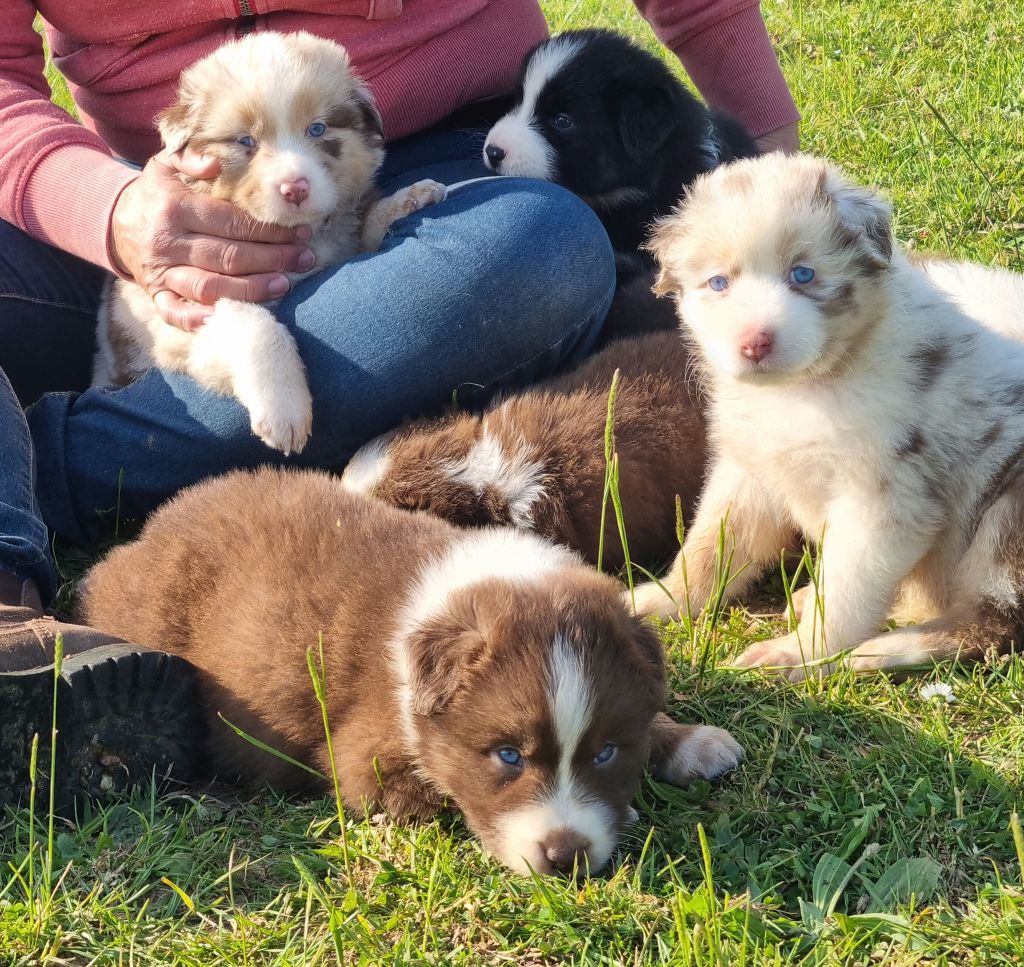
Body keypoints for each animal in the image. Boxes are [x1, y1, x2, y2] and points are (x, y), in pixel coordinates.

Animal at [77, 469, 737, 876]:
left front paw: (691, 742)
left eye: (605, 753)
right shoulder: (366, 761)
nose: (565, 854)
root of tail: (138, 540)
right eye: (508, 756)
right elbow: (436, 791)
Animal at [95, 30, 444, 452]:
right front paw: (285, 411)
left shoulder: (342, 235)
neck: (303, 232)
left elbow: (367, 222)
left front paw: (411, 196)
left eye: (317, 129)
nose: (295, 188)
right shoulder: (188, 311)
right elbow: (255, 323)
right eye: (246, 141)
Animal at [634, 152, 1024, 680]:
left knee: (990, 624)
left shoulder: (882, 499)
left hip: (1008, 517)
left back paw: (873, 652)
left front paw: (800, 652)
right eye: (718, 283)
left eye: (803, 275)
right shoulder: (749, 473)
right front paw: (660, 599)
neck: (807, 389)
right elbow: (709, 545)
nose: (755, 342)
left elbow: (845, 592)